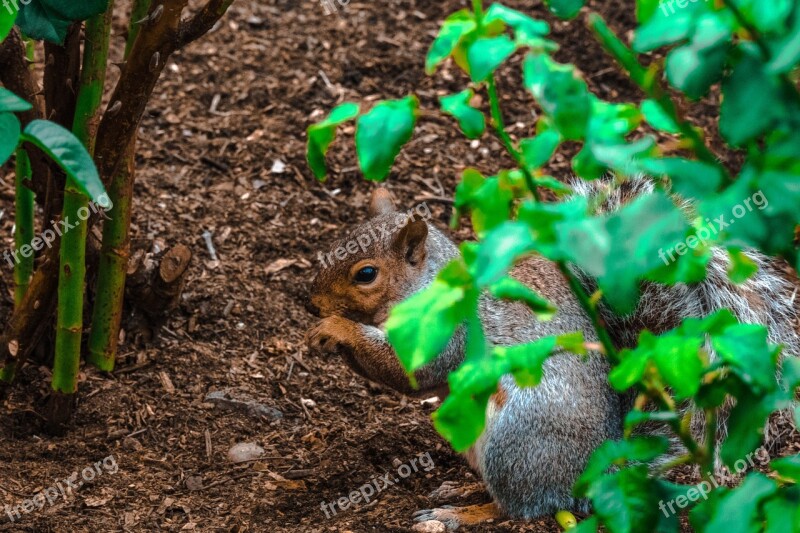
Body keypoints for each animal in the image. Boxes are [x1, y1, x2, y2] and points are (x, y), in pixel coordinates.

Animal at [304, 179, 796, 528]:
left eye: (366, 274)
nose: (311, 304)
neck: (427, 285)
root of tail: (597, 471)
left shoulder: (450, 331)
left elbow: (413, 371)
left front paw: (337, 328)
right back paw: (459, 492)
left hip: (517, 438)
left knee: (521, 507)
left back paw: (461, 514)